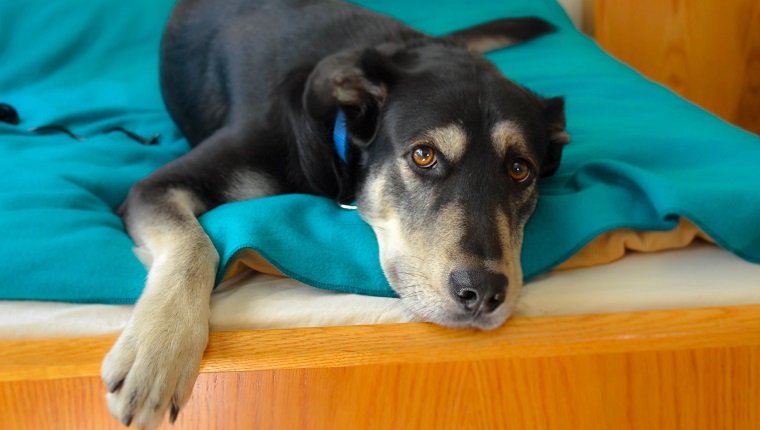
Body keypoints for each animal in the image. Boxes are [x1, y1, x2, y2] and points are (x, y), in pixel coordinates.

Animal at [99, 0, 564, 426]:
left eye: (519, 169)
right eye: (423, 155)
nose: (483, 293)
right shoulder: (151, 189)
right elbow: (195, 245)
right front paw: (159, 348)